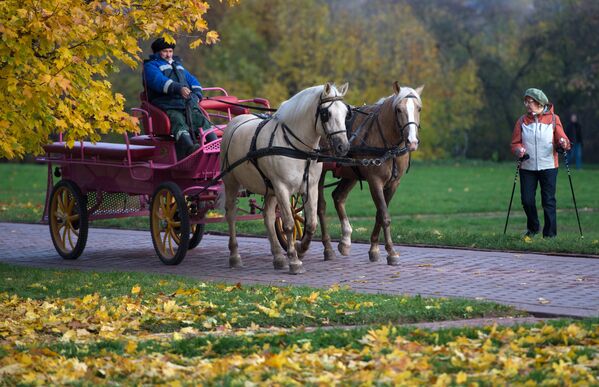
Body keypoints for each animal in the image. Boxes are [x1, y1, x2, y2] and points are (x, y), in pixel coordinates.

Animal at [221, 83, 352, 274]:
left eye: (345, 113)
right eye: (326, 114)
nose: (343, 146)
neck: (296, 148)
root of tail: (233, 123)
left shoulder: (310, 187)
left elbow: (311, 224)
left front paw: (300, 248)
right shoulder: (282, 187)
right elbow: (289, 224)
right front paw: (294, 260)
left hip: (269, 189)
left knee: (268, 216)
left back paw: (278, 257)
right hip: (231, 182)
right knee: (231, 214)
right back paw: (234, 256)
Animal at [314, 82, 422, 266]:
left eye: (418, 108)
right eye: (399, 109)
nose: (412, 142)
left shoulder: (394, 184)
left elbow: (379, 214)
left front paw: (374, 248)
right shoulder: (375, 181)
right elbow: (384, 215)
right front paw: (391, 251)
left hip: (350, 174)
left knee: (338, 197)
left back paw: (345, 239)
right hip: (319, 172)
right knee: (320, 207)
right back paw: (327, 247)